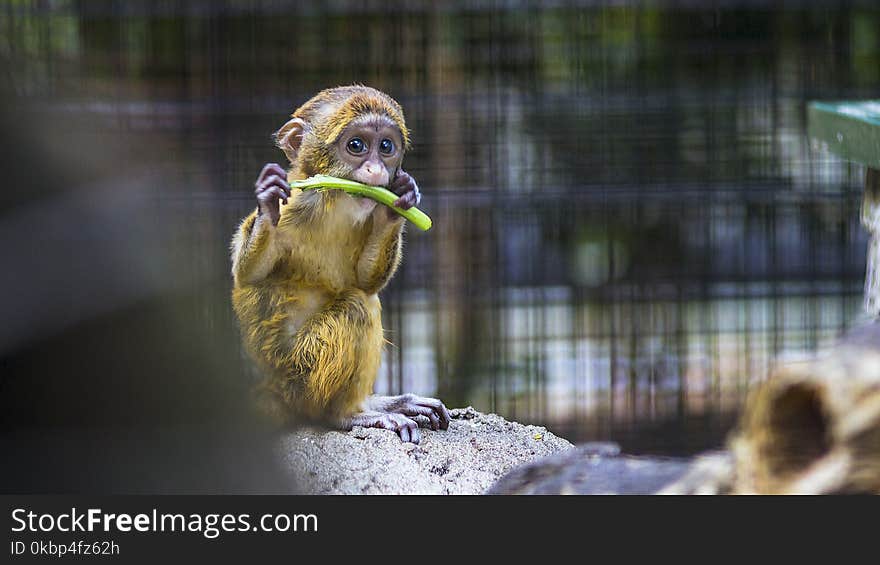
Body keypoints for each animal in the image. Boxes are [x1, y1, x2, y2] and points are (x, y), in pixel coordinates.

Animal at [230, 86, 450, 442]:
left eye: (386, 147)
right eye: (356, 146)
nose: (377, 171)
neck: (333, 202)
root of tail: (275, 388)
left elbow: (365, 281)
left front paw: (398, 202)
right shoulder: (296, 204)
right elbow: (249, 275)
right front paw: (268, 203)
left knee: (363, 298)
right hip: (301, 375)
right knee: (356, 307)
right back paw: (345, 414)